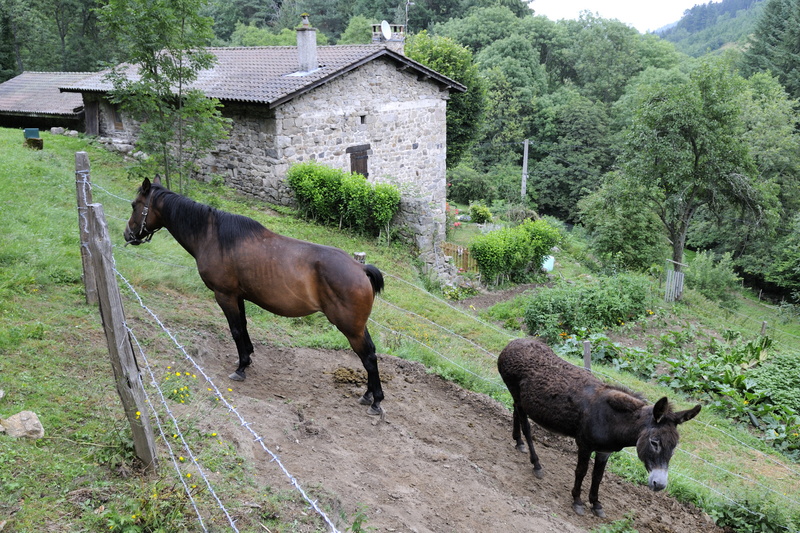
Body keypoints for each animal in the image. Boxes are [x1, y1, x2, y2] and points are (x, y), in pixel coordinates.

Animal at [123, 177, 386, 414]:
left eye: (135, 205)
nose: (127, 234)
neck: (213, 236)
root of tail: (360, 268)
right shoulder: (238, 296)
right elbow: (244, 327)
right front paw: (247, 358)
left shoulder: (224, 295)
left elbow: (236, 330)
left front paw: (240, 368)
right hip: (358, 326)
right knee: (370, 353)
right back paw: (368, 395)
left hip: (350, 328)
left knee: (369, 357)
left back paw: (375, 401)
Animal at [496, 336, 704, 516]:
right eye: (655, 442)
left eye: (674, 447)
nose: (659, 485)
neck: (612, 419)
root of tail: (513, 343)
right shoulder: (584, 445)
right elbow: (581, 471)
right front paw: (577, 501)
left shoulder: (605, 451)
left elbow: (598, 477)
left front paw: (596, 504)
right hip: (516, 394)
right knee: (527, 427)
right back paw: (536, 463)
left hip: (520, 399)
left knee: (515, 412)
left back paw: (518, 442)